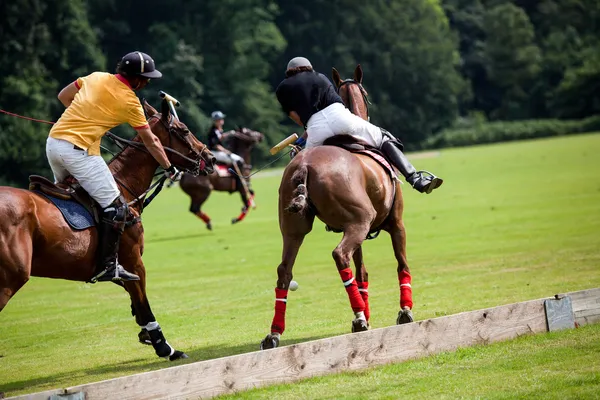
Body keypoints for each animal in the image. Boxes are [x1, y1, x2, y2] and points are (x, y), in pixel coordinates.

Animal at [0, 99, 216, 360]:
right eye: (184, 130)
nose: (211, 158)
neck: (123, 188)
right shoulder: (133, 261)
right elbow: (143, 304)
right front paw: (166, 348)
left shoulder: (111, 266)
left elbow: (134, 298)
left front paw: (145, 333)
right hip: (10, 278)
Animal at [260, 64, 414, 348]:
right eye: (366, 94)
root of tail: (304, 166)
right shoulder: (396, 223)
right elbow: (402, 263)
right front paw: (404, 311)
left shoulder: (356, 230)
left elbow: (362, 271)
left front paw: (368, 314)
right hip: (360, 220)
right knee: (339, 254)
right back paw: (359, 317)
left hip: (296, 229)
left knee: (284, 270)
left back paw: (274, 333)